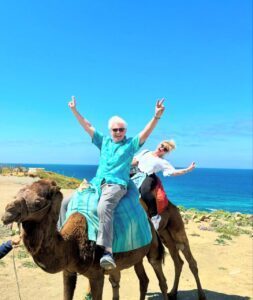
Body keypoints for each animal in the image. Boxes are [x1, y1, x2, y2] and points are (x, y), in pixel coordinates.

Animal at [1, 179, 169, 300]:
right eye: (18, 193)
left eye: (38, 202)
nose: (7, 213)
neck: (72, 245)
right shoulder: (68, 271)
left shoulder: (97, 275)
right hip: (134, 257)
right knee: (141, 280)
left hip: (153, 246)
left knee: (159, 275)